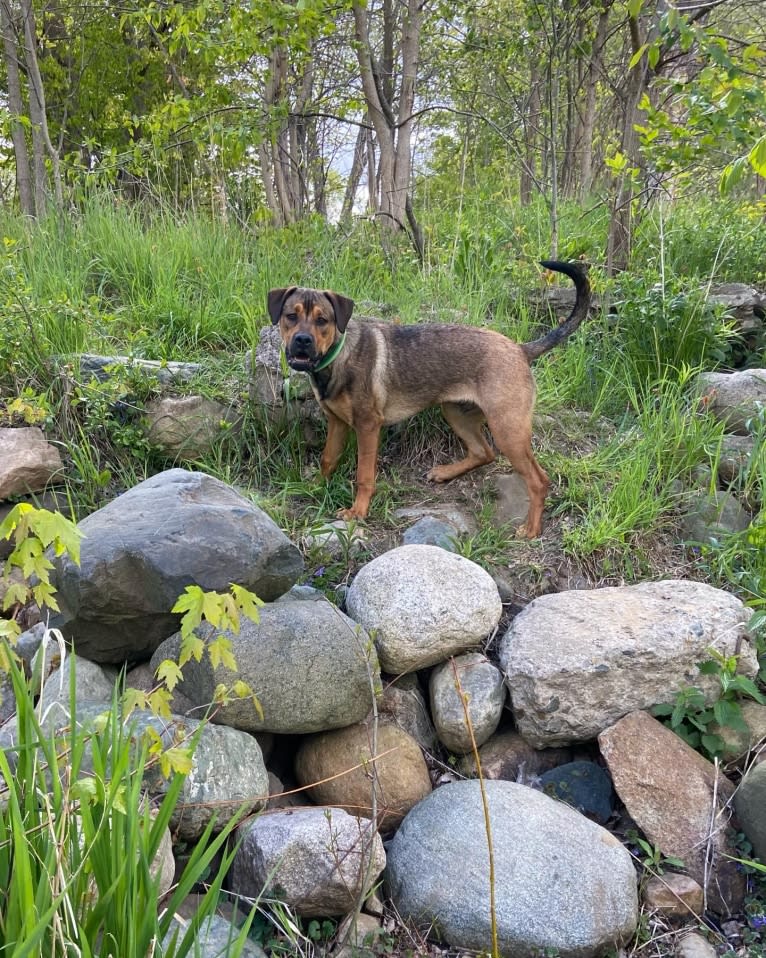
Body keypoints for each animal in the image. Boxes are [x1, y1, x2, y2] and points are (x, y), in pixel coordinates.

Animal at [270, 262, 592, 540]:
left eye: (322, 320)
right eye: (290, 316)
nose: (302, 341)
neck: (338, 356)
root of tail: (521, 349)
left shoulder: (368, 426)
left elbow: (364, 474)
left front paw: (358, 511)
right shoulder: (337, 422)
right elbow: (328, 459)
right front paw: (314, 487)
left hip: (507, 429)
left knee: (538, 480)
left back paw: (532, 529)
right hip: (456, 413)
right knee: (483, 452)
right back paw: (444, 472)